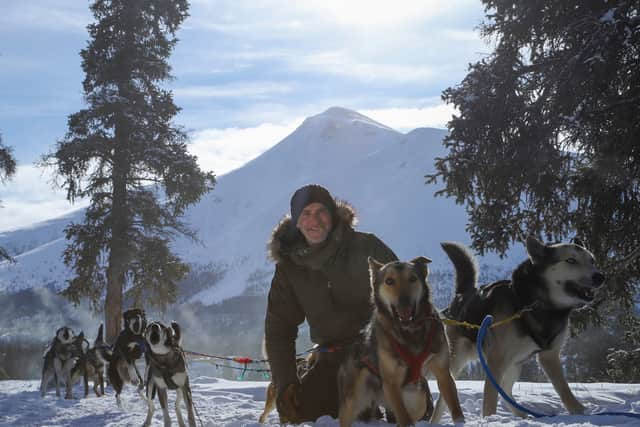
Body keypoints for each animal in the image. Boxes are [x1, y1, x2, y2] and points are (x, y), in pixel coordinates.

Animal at [336, 258, 464, 427]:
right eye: (389, 281)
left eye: (412, 279)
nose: (404, 301)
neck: (410, 331)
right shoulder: (391, 383)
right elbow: (404, 418)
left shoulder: (443, 373)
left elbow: (455, 407)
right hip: (352, 400)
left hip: (417, 397)